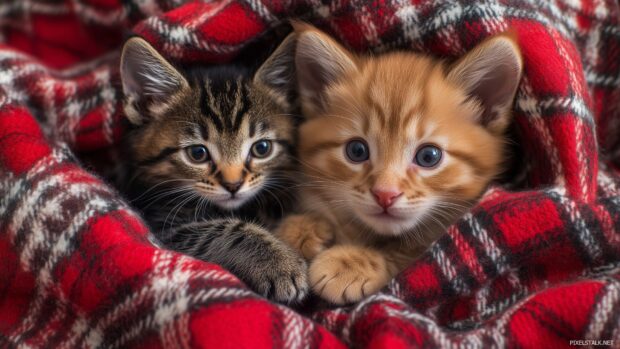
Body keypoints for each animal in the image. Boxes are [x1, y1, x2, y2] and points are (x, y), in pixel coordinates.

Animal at [118, 34, 308, 302]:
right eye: (197, 153)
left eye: (262, 148)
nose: (233, 185)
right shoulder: (164, 226)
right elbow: (224, 229)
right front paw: (279, 263)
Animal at [276, 24, 524, 304]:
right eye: (357, 151)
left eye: (429, 156)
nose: (385, 194)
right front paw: (303, 227)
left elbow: (414, 252)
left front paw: (351, 263)